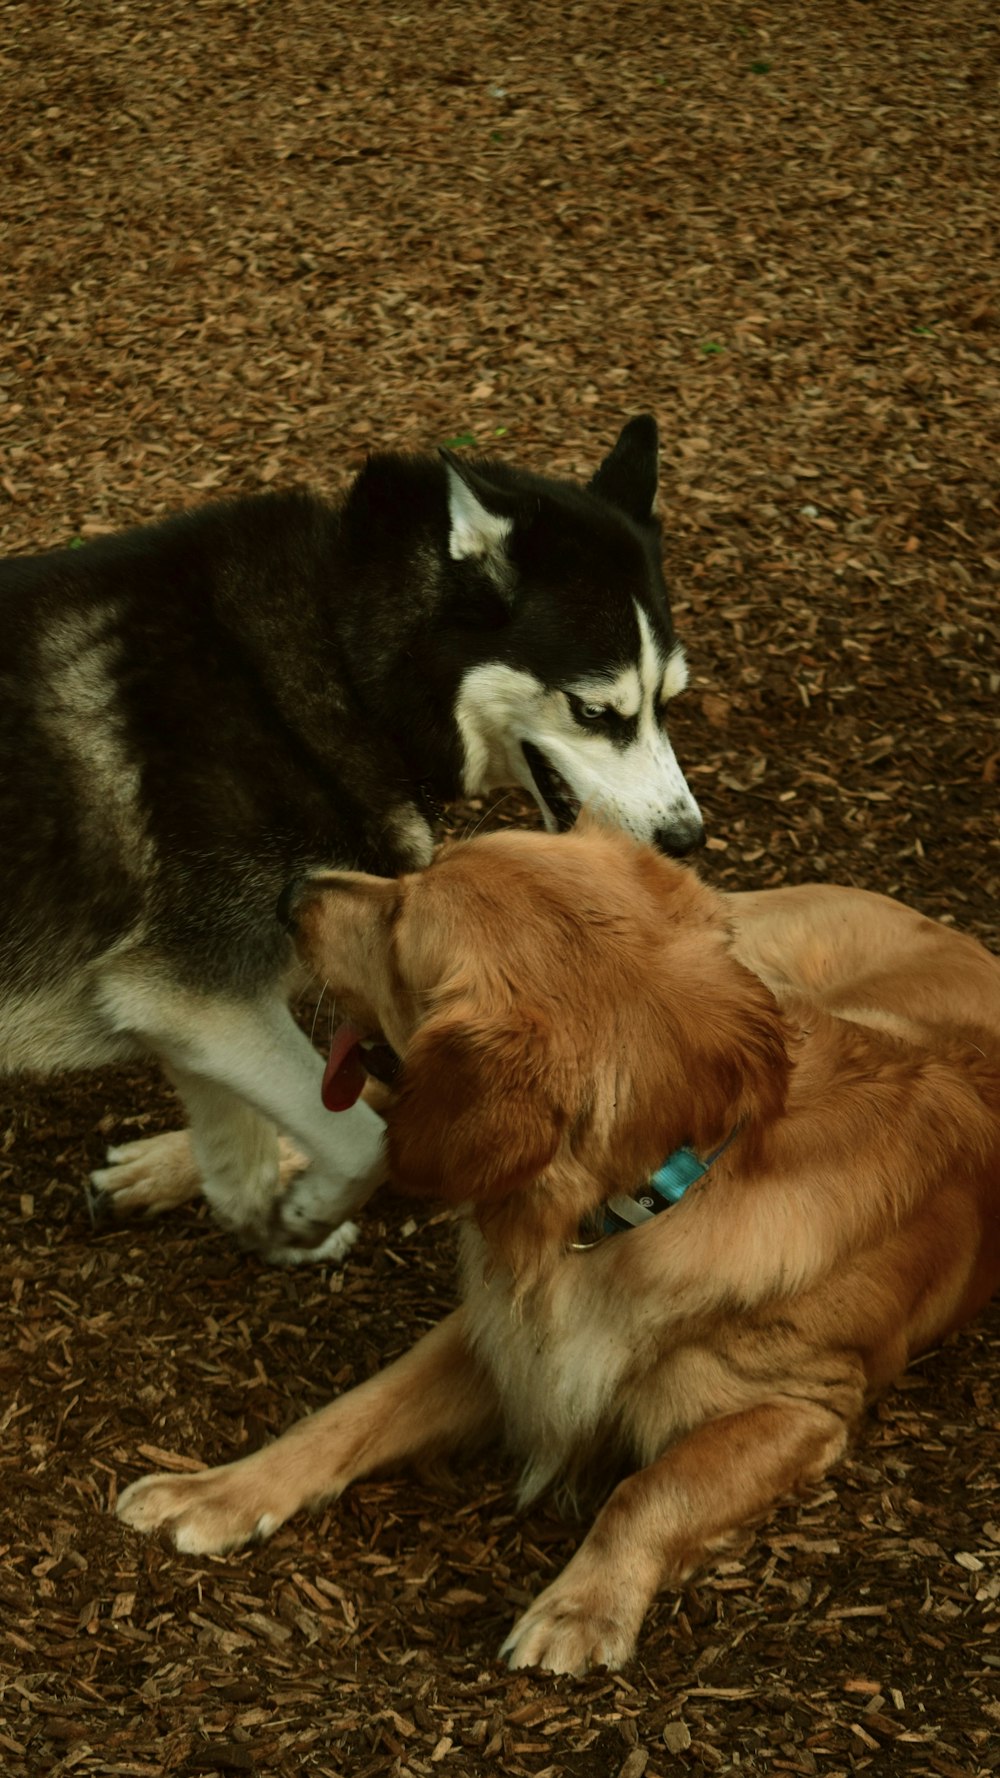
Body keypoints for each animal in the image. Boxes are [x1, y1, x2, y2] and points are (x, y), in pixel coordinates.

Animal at [118, 824, 996, 1671]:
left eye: (399, 926)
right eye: (419, 868)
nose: (293, 890)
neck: (667, 1183)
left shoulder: (803, 1406)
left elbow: (649, 1490)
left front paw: (584, 1607)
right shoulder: (504, 1329)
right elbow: (351, 1412)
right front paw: (219, 1491)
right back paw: (166, 1167)